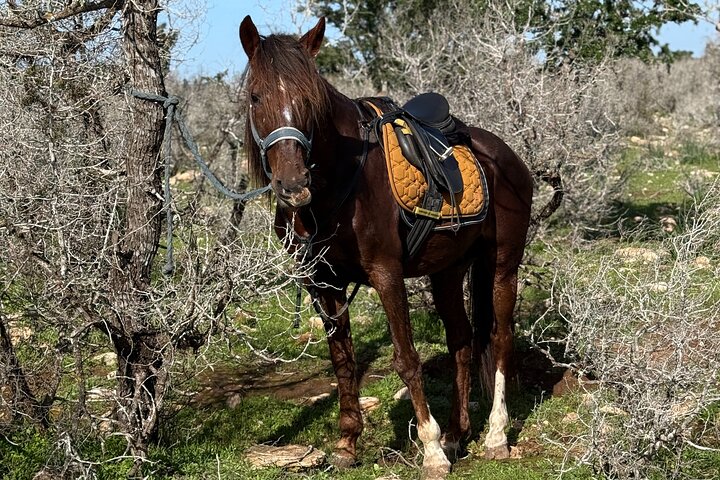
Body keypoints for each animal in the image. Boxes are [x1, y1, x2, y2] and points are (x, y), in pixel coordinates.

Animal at [239, 15, 533, 478]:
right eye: (256, 96)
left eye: (311, 101)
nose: (293, 185)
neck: (338, 187)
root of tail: (506, 156)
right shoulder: (323, 284)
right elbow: (343, 360)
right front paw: (347, 443)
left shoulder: (386, 274)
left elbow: (406, 359)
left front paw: (430, 452)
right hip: (448, 271)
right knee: (462, 341)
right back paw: (457, 434)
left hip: (502, 267)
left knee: (500, 339)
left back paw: (495, 437)